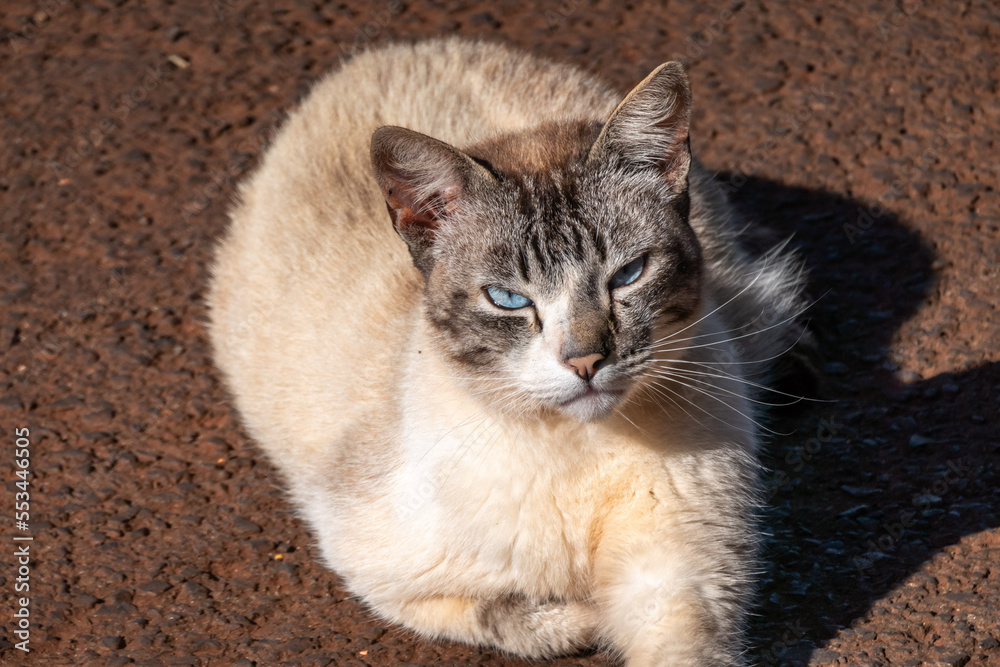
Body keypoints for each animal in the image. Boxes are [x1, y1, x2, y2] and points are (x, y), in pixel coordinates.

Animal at [209, 37, 812, 667]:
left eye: (627, 275)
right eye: (508, 300)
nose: (586, 361)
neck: (576, 450)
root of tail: (388, 50)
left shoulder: (679, 584)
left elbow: (679, 647)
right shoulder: (377, 565)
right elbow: (518, 617)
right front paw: (584, 620)